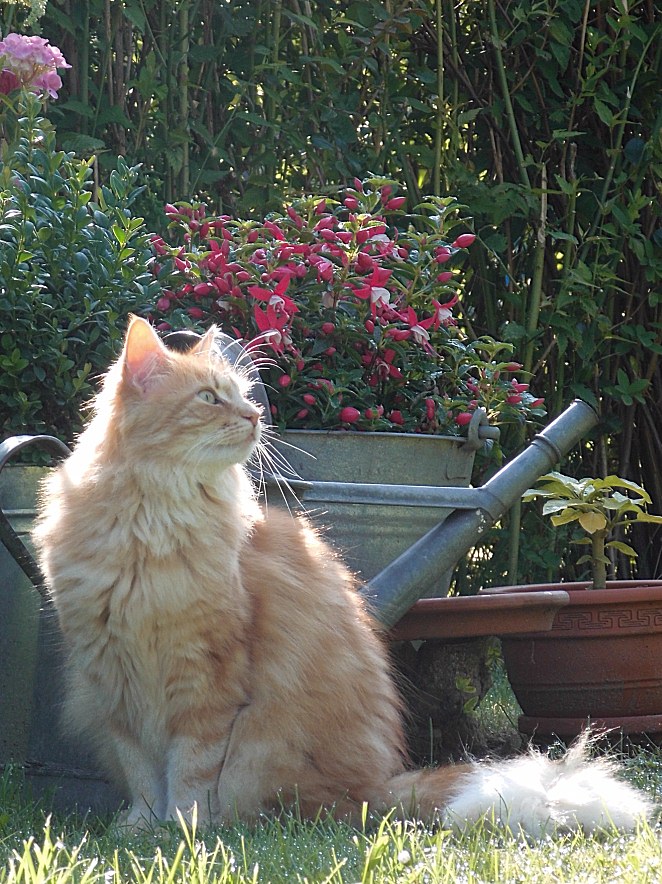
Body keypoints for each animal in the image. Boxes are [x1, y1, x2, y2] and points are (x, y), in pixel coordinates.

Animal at [33, 318, 656, 836]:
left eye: (242, 398)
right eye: (209, 398)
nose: (255, 418)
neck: (149, 522)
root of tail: (375, 788)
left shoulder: (204, 681)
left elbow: (187, 774)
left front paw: (181, 831)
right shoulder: (114, 684)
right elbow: (143, 775)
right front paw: (140, 830)